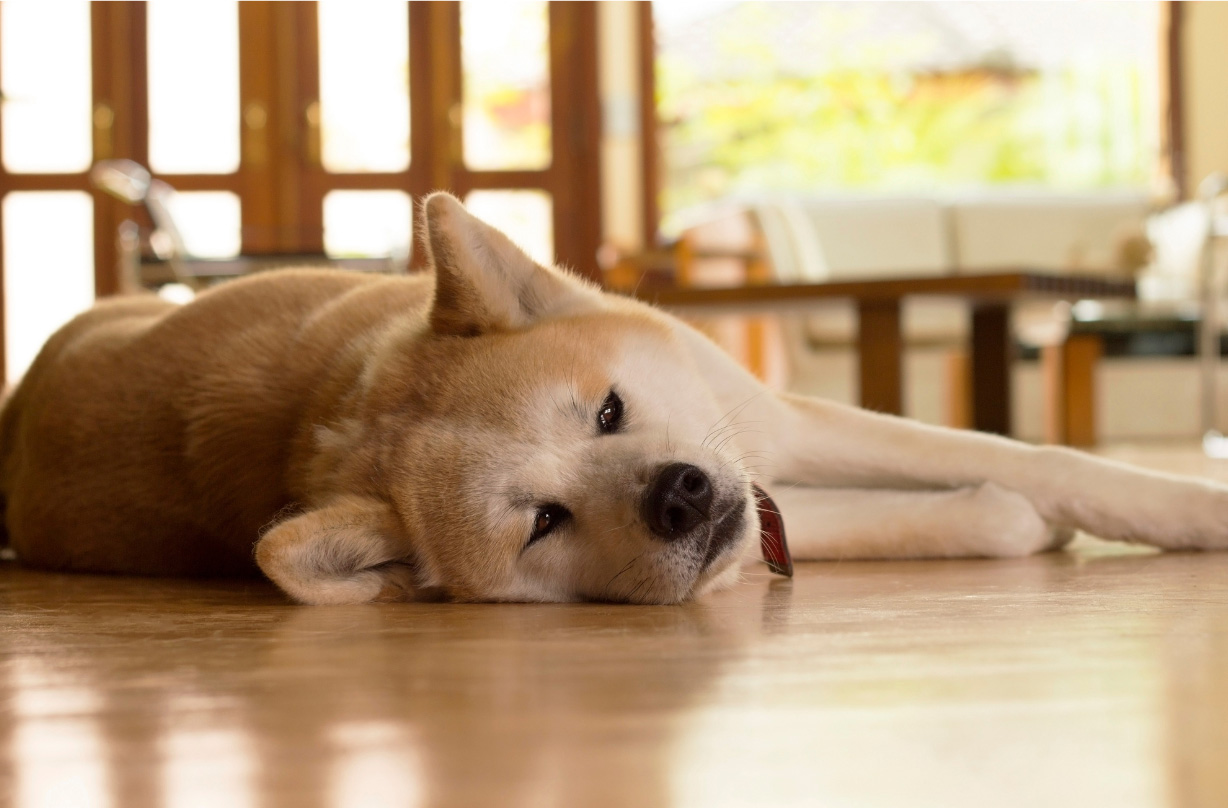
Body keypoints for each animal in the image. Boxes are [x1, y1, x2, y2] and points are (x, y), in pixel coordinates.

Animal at [2, 191, 1228, 601]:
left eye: (607, 412)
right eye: (545, 522)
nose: (677, 493)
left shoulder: (771, 427)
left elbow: (1046, 458)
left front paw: (1188, 508)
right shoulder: (769, 494)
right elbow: (960, 506)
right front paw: (1005, 521)